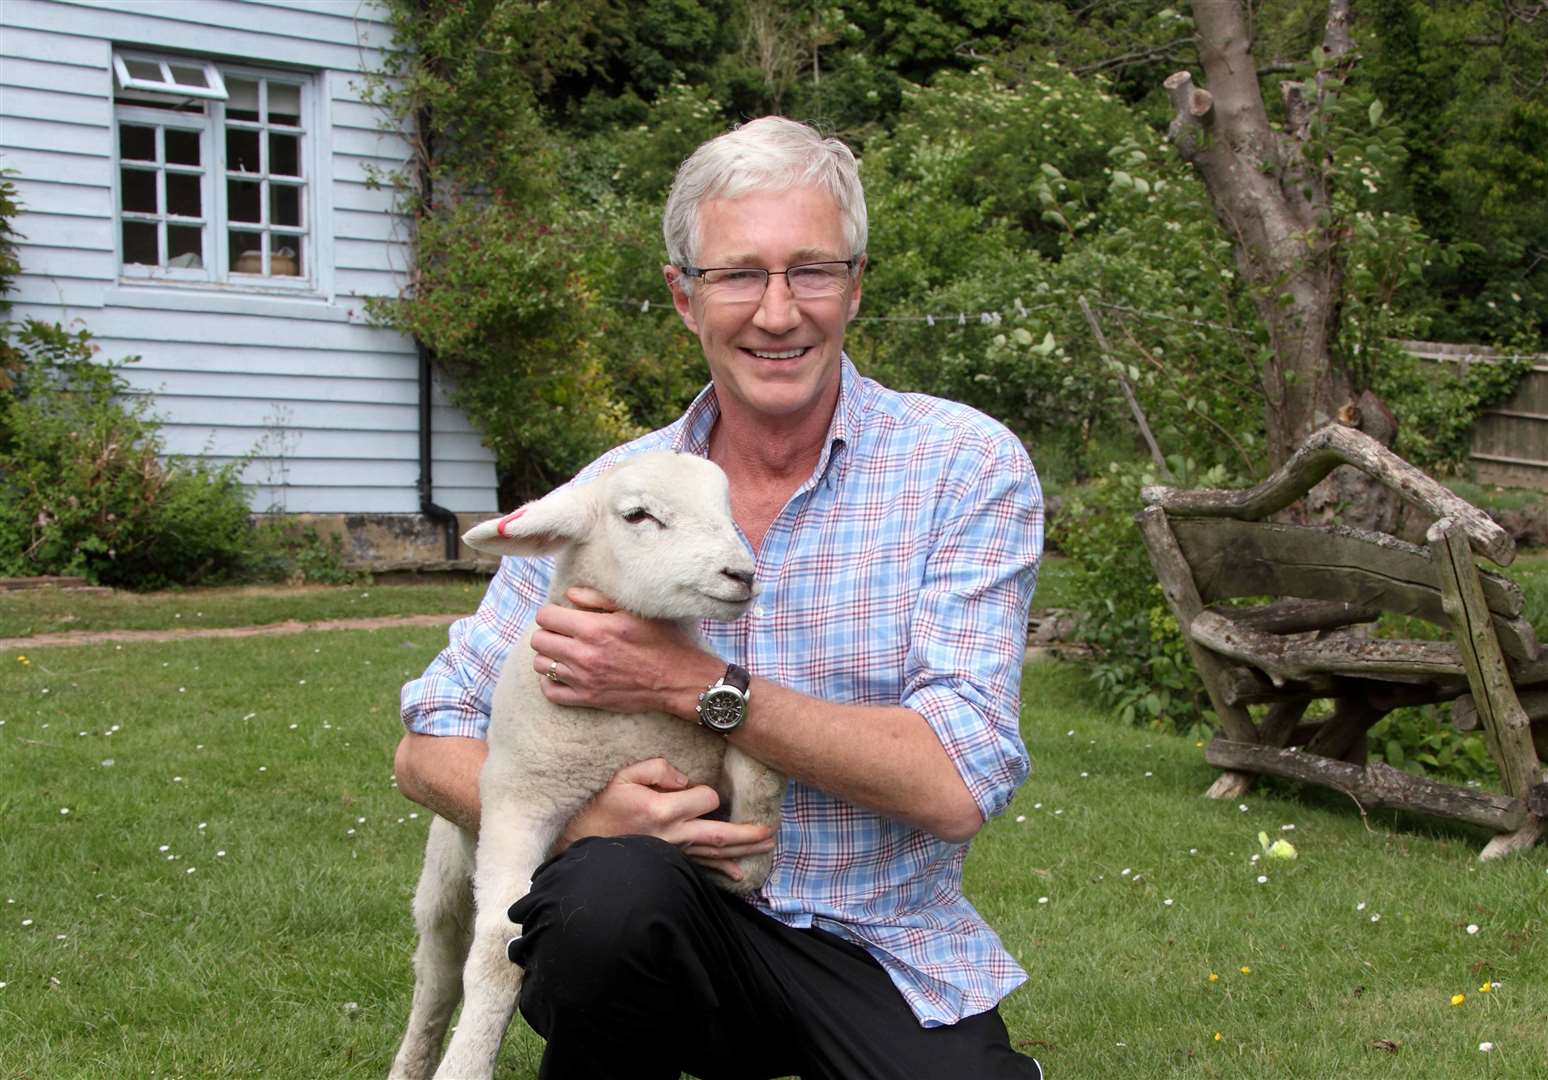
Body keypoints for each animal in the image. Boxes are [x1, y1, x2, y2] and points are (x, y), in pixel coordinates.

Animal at [387, 448, 786, 1076]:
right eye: (638, 515)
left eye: (726, 509)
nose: (741, 575)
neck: (624, 727)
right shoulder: (519, 805)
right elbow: (495, 956)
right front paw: (467, 1064)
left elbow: (758, 771)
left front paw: (742, 863)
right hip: (447, 879)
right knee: (437, 979)